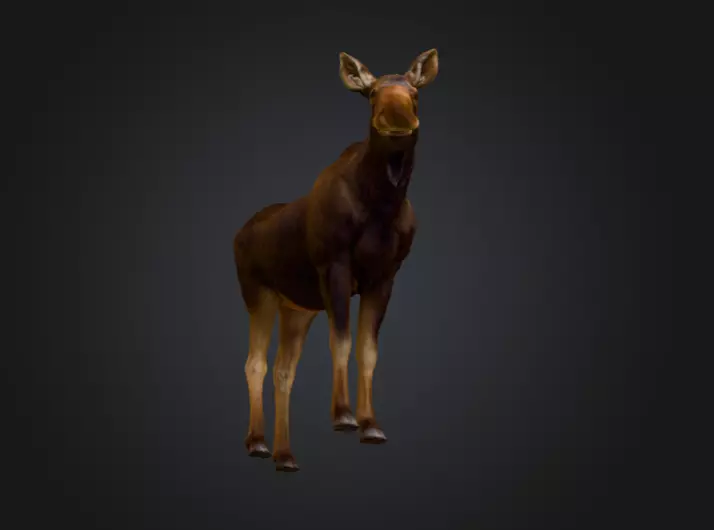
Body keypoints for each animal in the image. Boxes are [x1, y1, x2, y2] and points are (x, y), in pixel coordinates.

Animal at [233, 49, 439, 472]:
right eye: (372, 93)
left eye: (414, 92)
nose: (397, 118)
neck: (382, 206)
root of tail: (237, 236)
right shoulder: (335, 267)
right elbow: (341, 341)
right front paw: (344, 416)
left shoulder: (384, 277)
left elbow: (368, 349)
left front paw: (371, 424)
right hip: (258, 294)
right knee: (255, 363)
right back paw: (258, 442)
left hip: (296, 309)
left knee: (283, 370)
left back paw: (285, 455)